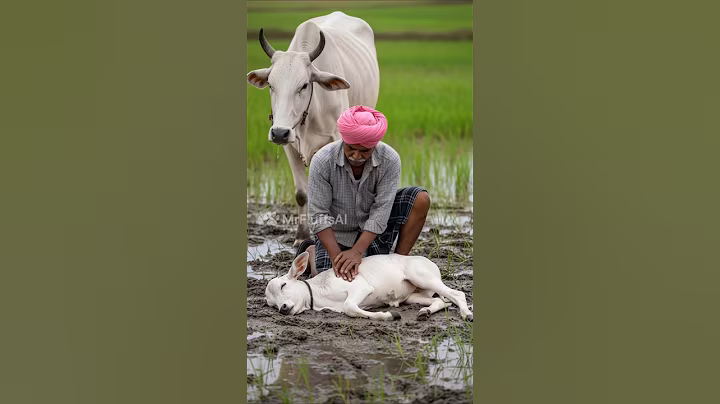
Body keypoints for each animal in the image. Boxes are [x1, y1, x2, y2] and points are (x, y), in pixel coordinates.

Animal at [247, 11, 380, 246]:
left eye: (304, 85)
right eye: (271, 85)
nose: (279, 132)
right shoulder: (289, 147)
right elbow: (302, 194)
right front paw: (301, 236)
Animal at [264, 251, 474, 322]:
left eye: (283, 285)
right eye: (271, 305)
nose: (283, 308)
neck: (318, 293)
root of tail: (431, 263)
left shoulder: (361, 287)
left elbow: (349, 306)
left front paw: (389, 315)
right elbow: (350, 309)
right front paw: (388, 314)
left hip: (423, 277)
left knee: (457, 294)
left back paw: (466, 314)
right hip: (414, 296)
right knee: (441, 300)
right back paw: (425, 312)